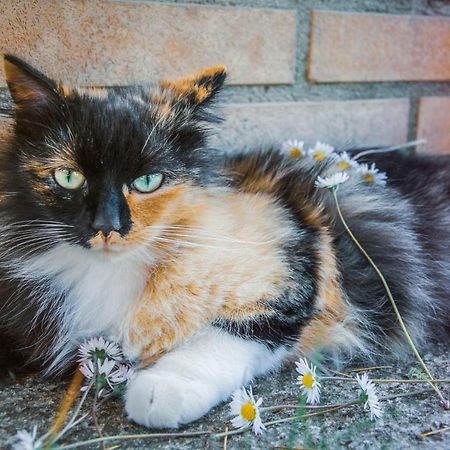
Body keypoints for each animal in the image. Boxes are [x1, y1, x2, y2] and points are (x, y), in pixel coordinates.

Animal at [0, 54, 448, 428]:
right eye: (68, 176)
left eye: (147, 181)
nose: (107, 225)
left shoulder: (289, 272)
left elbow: (225, 336)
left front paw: (162, 389)